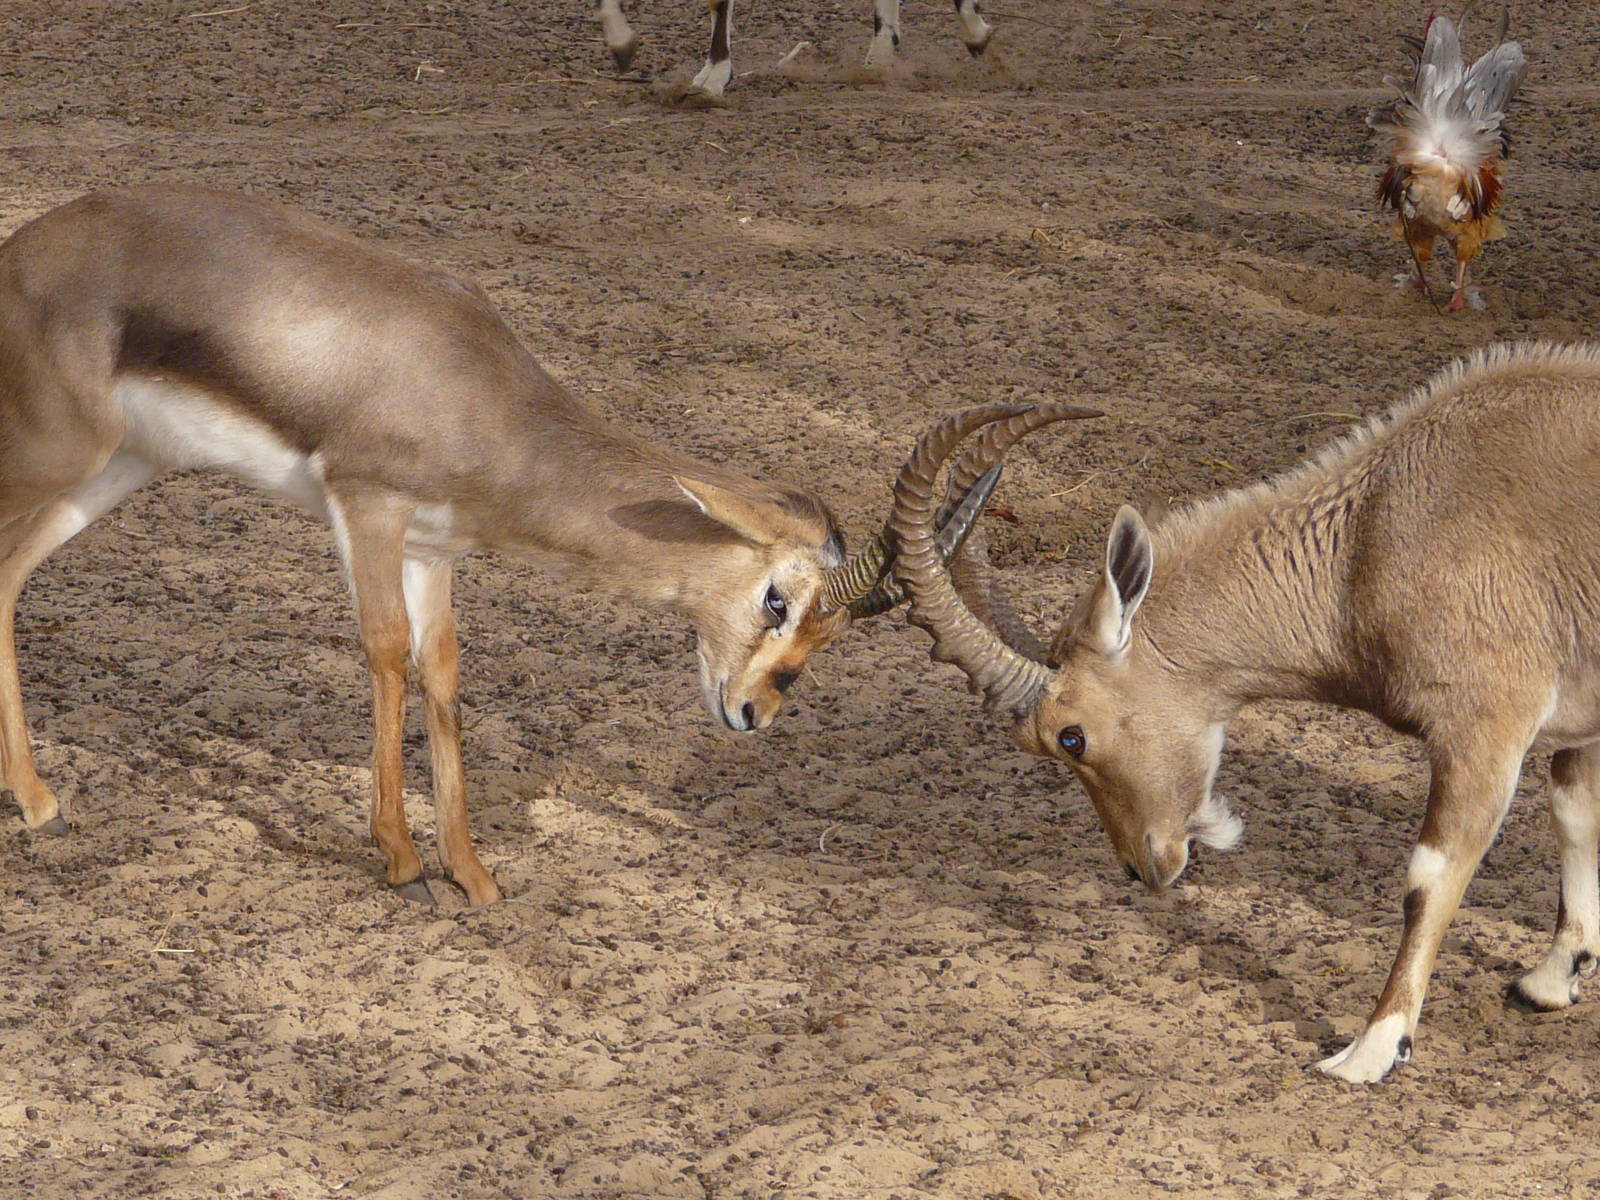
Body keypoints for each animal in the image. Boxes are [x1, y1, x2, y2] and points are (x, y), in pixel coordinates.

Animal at [0, 184, 1089, 907]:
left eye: (831, 634)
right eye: (776, 597)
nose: (752, 713)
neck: (482, 399)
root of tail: (26, 246)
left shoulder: (434, 550)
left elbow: (441, 671)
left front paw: (471, 870)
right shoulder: (367, 509)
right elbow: (385, 656)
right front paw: (398, 856)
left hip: (117, 471)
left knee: (8, 574)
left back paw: (41, 801)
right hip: (56, 455)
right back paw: (39, 802)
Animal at [891, 341, 1600, 1081]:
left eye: (1070, 737)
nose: (1144, 866)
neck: (1366, 539)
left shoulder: (1483, 727)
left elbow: (1427, 878)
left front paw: (1371, 1049)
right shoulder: (1579, 722)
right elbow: (1575, 814)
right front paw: (1552, 979)